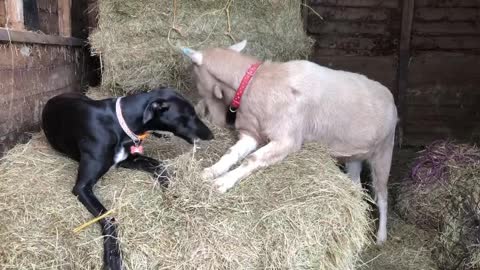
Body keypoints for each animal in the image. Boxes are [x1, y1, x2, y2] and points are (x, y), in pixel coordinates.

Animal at [42, 87, 213, 270]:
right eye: (189, 114)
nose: (211, 135)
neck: (119, 124)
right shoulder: (82, 187)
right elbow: (109, 218)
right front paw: (113, 256)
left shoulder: (128, 159)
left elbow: (160, 166)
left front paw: (172, 191)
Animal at [182, 40, 396, 245]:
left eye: (194, 75)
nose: (207, 116)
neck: (257, 82)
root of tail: (390, 98)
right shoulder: (252, 134)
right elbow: (232, 153)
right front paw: (211, 172)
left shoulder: (287, 139)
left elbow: (252, 159)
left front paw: (222, 183)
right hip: (354, 156)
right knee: (357, 186)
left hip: (384, 151)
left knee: (382, 195)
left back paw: (381, 237)